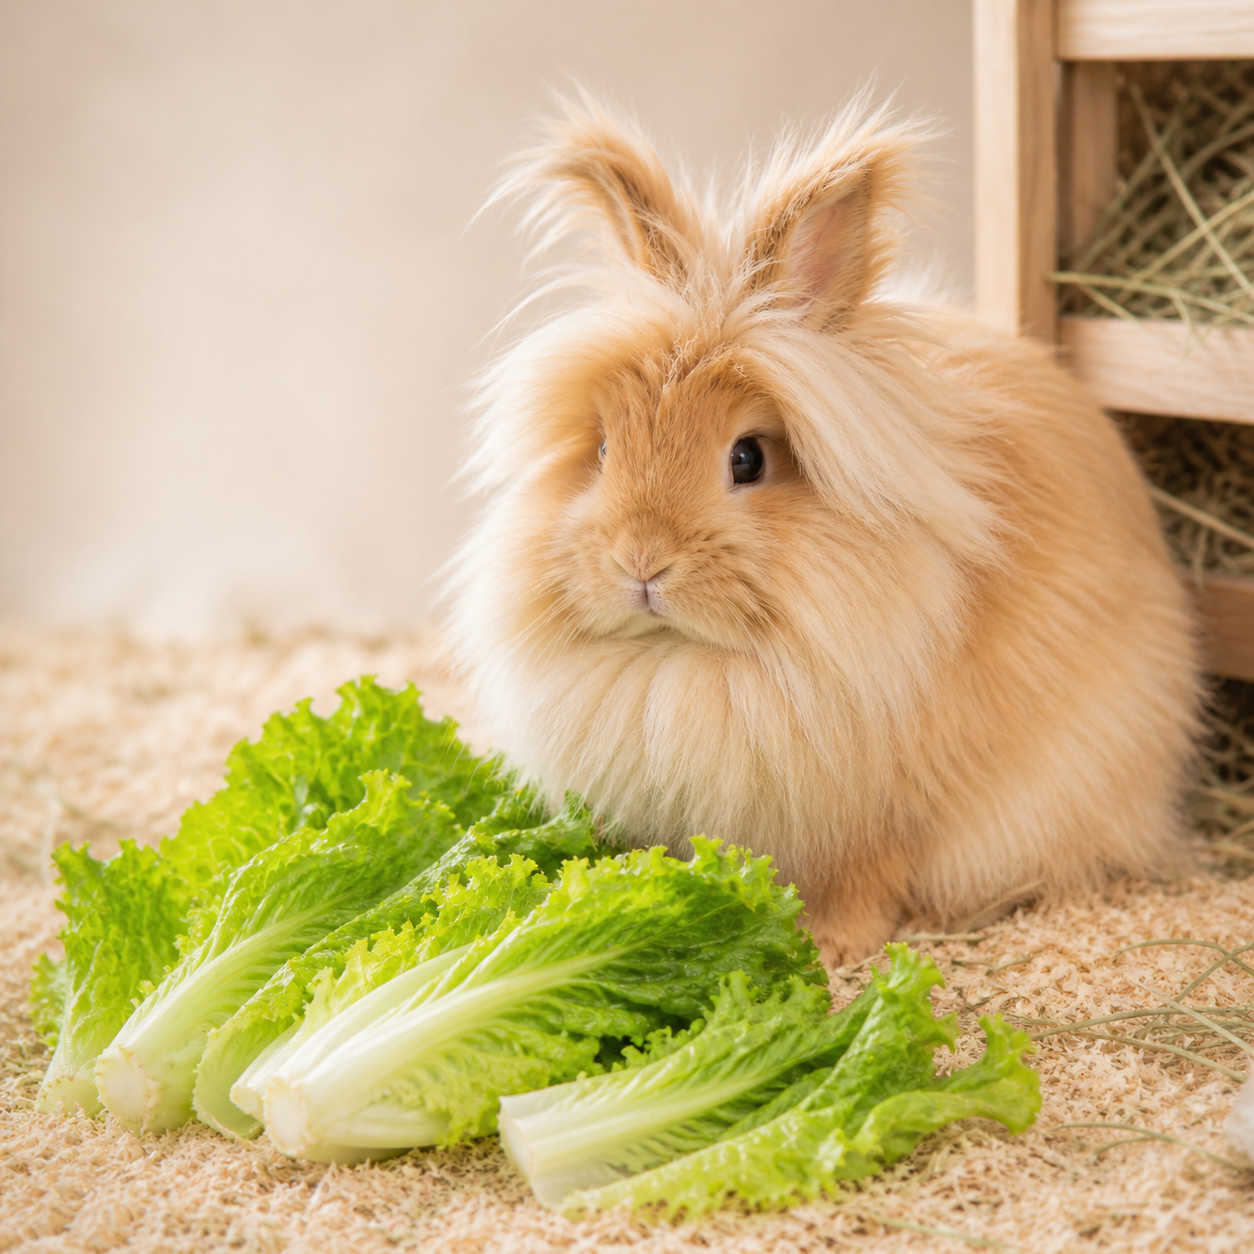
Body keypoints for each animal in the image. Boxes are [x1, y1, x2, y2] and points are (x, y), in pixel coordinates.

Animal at [444, 94, 1201, 967]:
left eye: (748, 458)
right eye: (601, 450)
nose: (641, 563)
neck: (693, 668)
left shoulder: (892, 811)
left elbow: (868, 876)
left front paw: (837, 949)